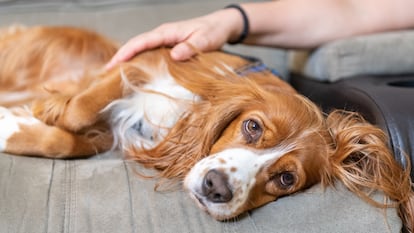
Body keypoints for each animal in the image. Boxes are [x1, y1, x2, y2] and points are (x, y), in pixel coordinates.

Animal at [0, 26, 414, 231]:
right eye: (251, 126)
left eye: (286, 180)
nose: (216, 187)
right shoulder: (147, 59)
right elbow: (78, 111)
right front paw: (43, 110)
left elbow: (70, 140)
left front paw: (13, 124)